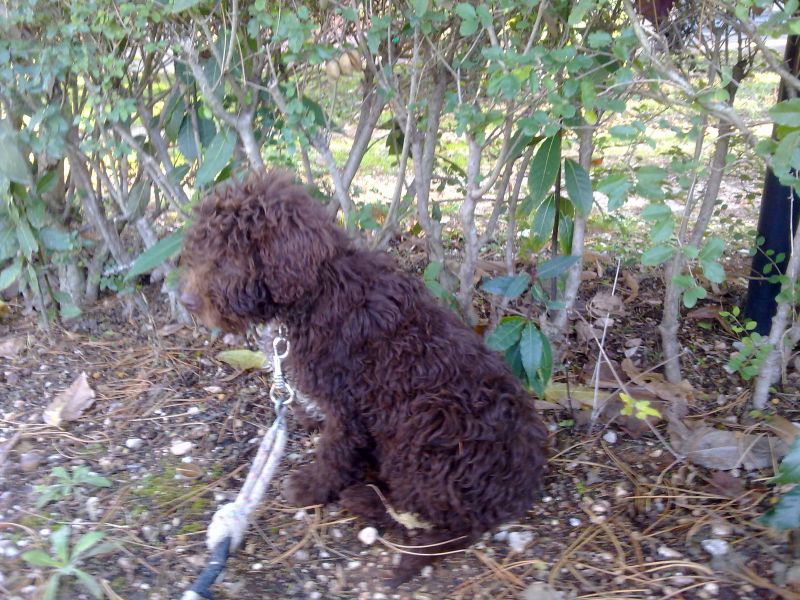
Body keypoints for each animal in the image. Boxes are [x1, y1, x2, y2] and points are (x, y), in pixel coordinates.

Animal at [180, 171, 552, 584]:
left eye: (231, 257)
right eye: (201, 247)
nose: (186, 302)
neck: (315, 292)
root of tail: (518, 488)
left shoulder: (350, 402)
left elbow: (334, 450)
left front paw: (311, 487)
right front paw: (307, 419)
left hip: (425, 428)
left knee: (435, 520)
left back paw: (364, 499)